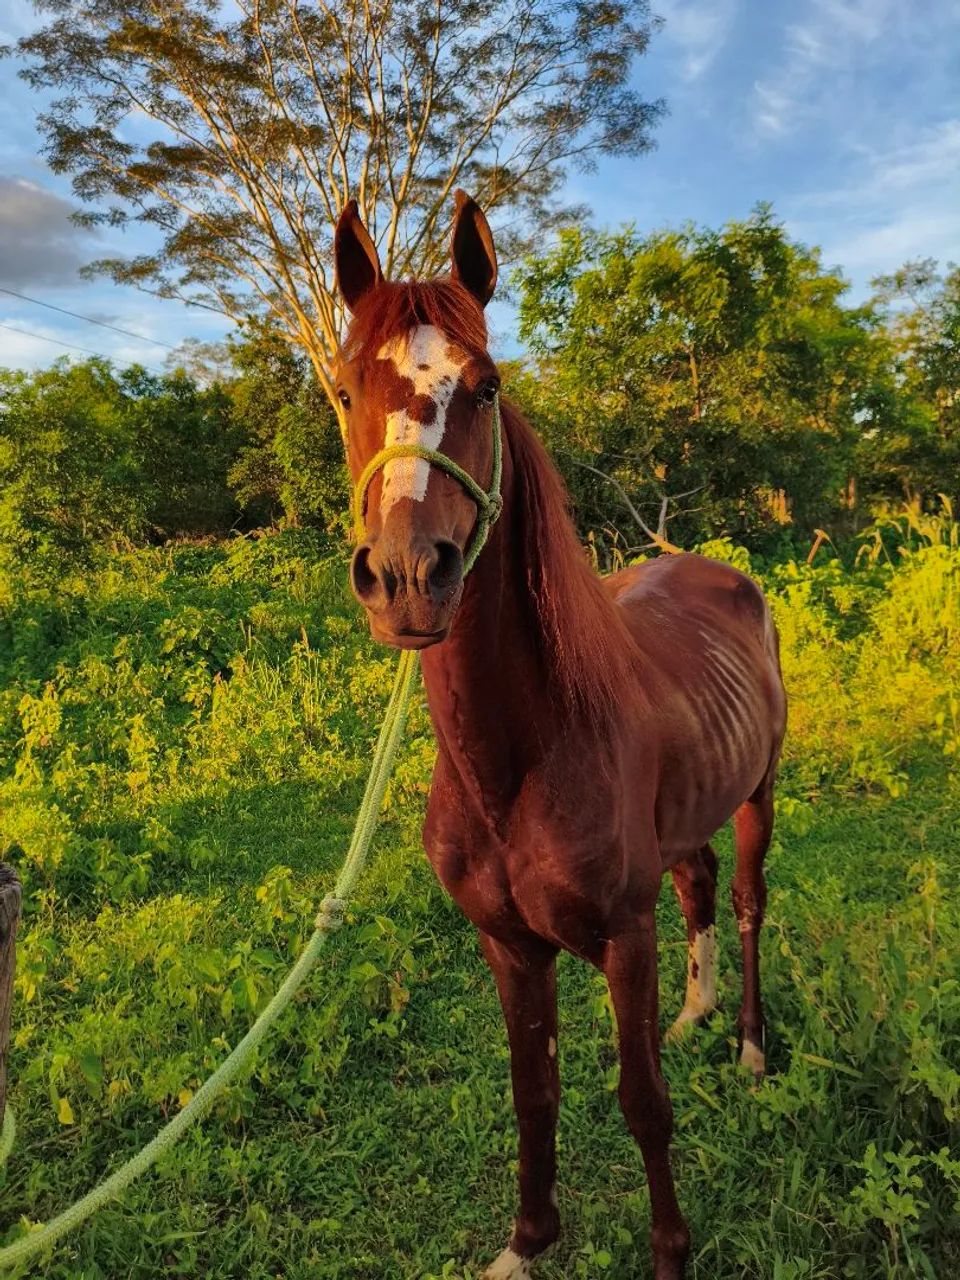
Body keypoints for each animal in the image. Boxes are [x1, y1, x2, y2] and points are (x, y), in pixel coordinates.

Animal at [332, 191, 787, 1280]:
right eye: (344, 387)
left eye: (486, 386)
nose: (407, 577)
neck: (518, 762)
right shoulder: (508, 945)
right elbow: (533, 1095)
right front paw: (527, 1243)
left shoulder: (623, 937)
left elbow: (643, 1101)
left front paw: (670, 1252)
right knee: (701, 884)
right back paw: (700, 1011)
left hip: (760, 795)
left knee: (747, 902)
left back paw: (750, 1042)